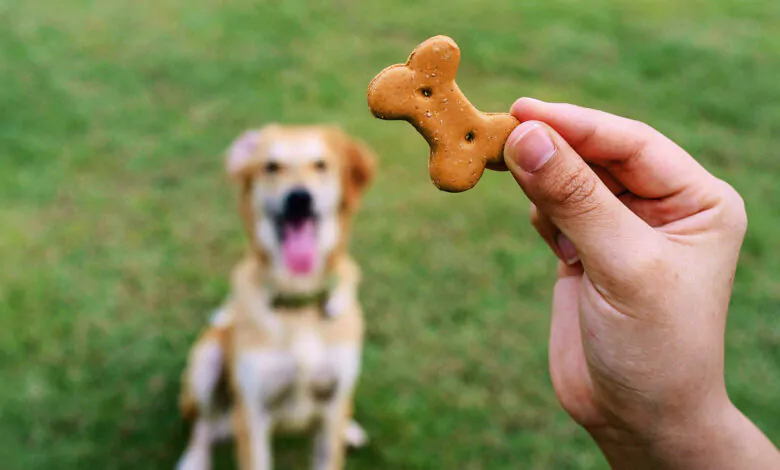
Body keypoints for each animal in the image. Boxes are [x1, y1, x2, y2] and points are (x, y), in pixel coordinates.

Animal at [175, 124, 376, 470]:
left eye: (320, 165)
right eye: (271, 166)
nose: (299, 198)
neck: (298, 300)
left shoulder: (332, 403)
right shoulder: (253, 413)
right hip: (207, 360)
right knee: (204, 423)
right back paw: (195, 459)